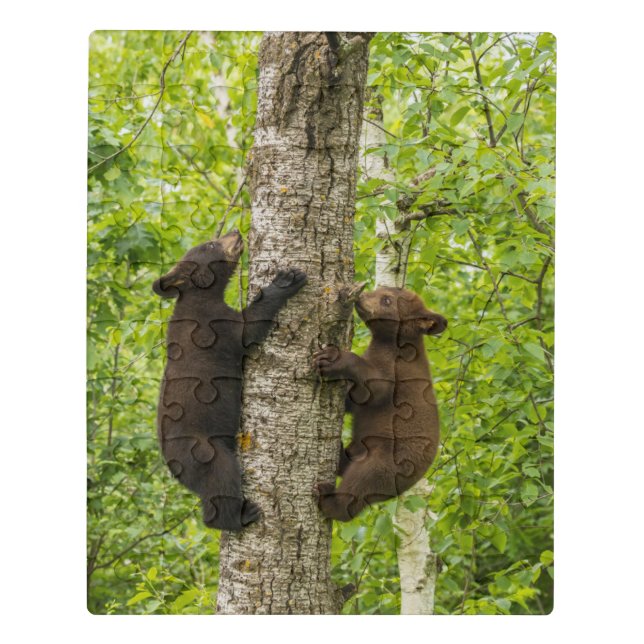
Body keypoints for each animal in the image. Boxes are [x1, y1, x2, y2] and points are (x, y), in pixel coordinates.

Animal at [153, 229, 307, 531]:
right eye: (211, 244)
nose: (235, 232)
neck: (200, 297)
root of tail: (174, 468)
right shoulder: (214, 327)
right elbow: (249, 327)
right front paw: (285, 280)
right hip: (204, 450)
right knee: (222, 477)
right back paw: (241, 516)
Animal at [312, 286, 447, 522]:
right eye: (379, 289)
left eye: (386, 300)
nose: (361, 296)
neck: (394, 345)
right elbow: (356, 398)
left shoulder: (398, 373)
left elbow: (375, 388)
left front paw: (333, 358)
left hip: (386, 462)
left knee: (360, 484)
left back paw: (329, 499)